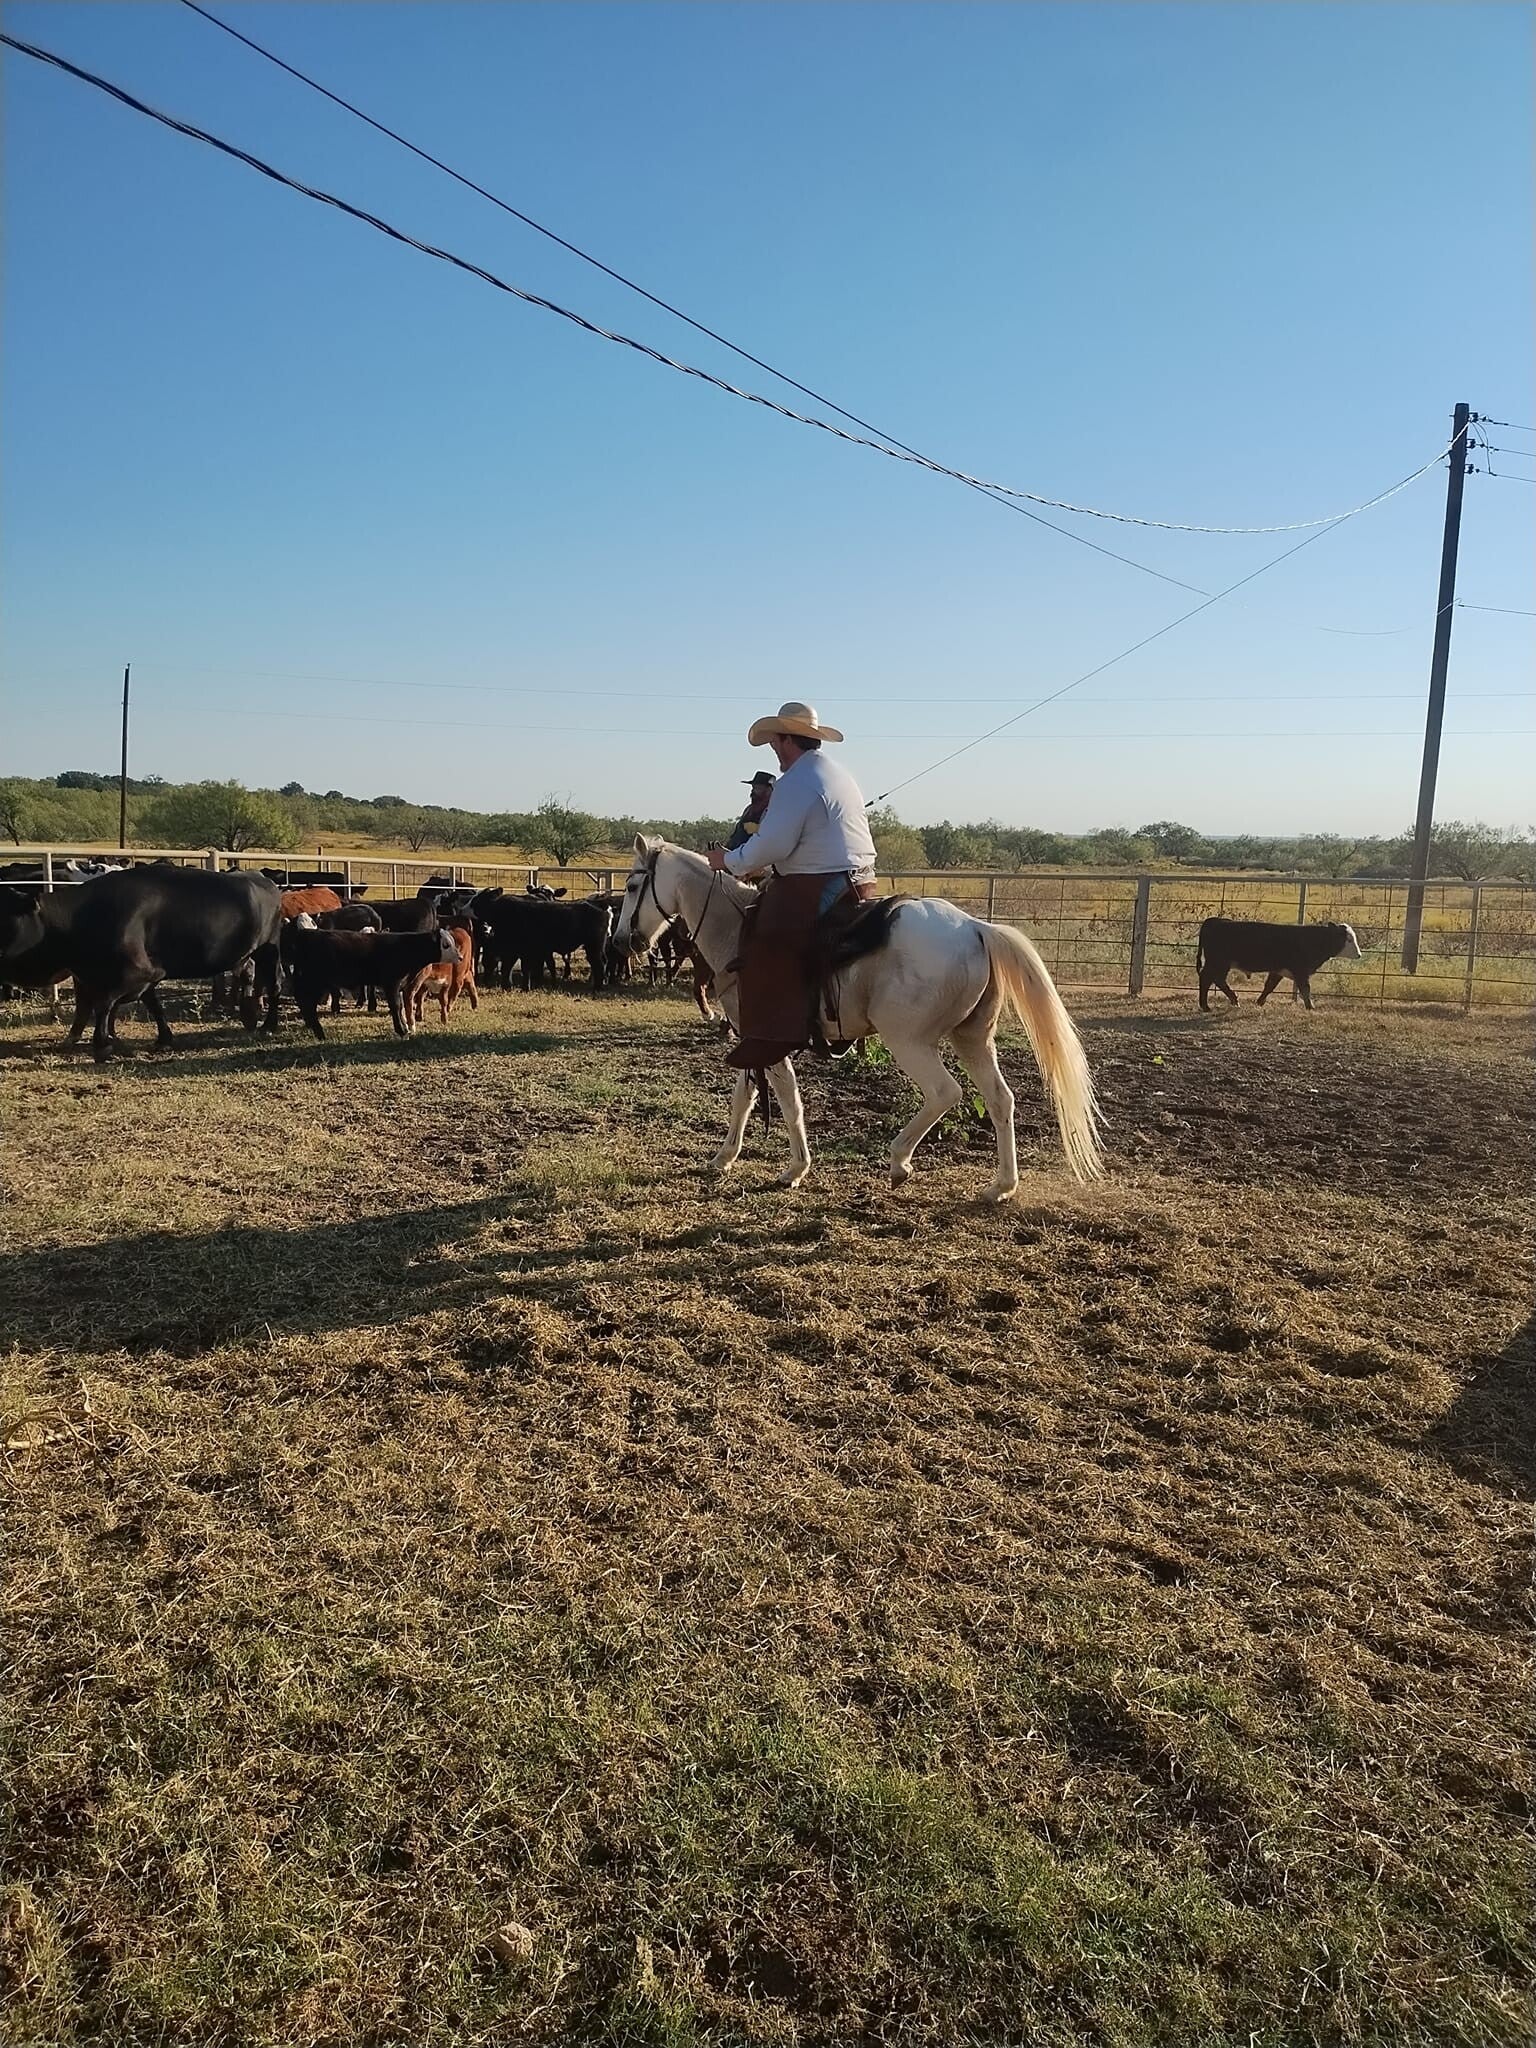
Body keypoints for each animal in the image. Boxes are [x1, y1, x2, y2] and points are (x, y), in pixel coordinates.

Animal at [0, 868, 282, 1060]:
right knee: (247, 974)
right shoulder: (100, 976)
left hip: (269, 950)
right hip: (245, 954)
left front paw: (102, 1043)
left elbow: (104, 1004)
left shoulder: (140, 972)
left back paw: (268, 1025)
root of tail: (265, 880)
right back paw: (249, 1016)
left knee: (274, 984)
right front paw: (161, 1037)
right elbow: (143, 1004)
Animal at [281, 919, 458, 1040]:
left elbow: (400, 1006)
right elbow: (396, 1006)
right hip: (314, 981)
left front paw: (404, 1028)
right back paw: (319, 1032)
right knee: (307, 1004)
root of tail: (305, 935)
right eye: (446, 944)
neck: (404, 947)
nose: (460, 957)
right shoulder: (391, 983)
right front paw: (402, 1031)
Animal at [612, 838, 1102, 1200]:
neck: (736, 933)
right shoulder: (751, 1041)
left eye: (634, 887)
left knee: (945, 1093)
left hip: (910, 1042)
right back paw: (1001, 1186)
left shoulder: (765, 1040)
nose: (623, 942)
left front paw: (795, 1168)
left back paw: (899, 1160)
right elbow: (743, 1099)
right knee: (1001, 1100)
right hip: (973, 1039)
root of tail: (976, 928)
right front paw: (723, 1158)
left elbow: (787, 1101)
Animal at [1197, 918, 1363, 1011]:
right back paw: (1206, 1006)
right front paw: (1310, 1007)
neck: (1312, 940)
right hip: (1217, 962)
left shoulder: (1278, 970)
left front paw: (1260, 1002)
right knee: (1207, 978)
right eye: (1348, 939)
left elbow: (1269, 986)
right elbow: (1305, 989)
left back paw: (1233, 1000)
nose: (1359, 955)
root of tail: (1214, 921)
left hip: (1221, 964)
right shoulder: (1300, 971)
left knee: (1218, 980)